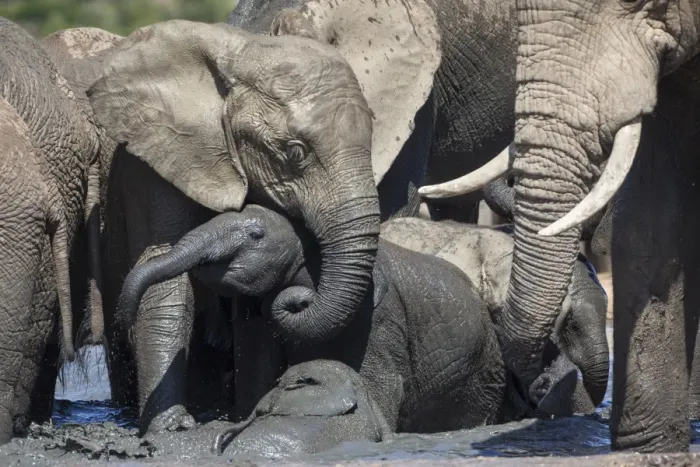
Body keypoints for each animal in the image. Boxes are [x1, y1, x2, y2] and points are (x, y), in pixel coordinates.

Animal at [41, 16, 441, 434]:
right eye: (295, 153)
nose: (304, 298)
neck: (244, 53)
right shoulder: (155, 161)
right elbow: (168, 285)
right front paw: (173, 428)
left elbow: (255, 300)